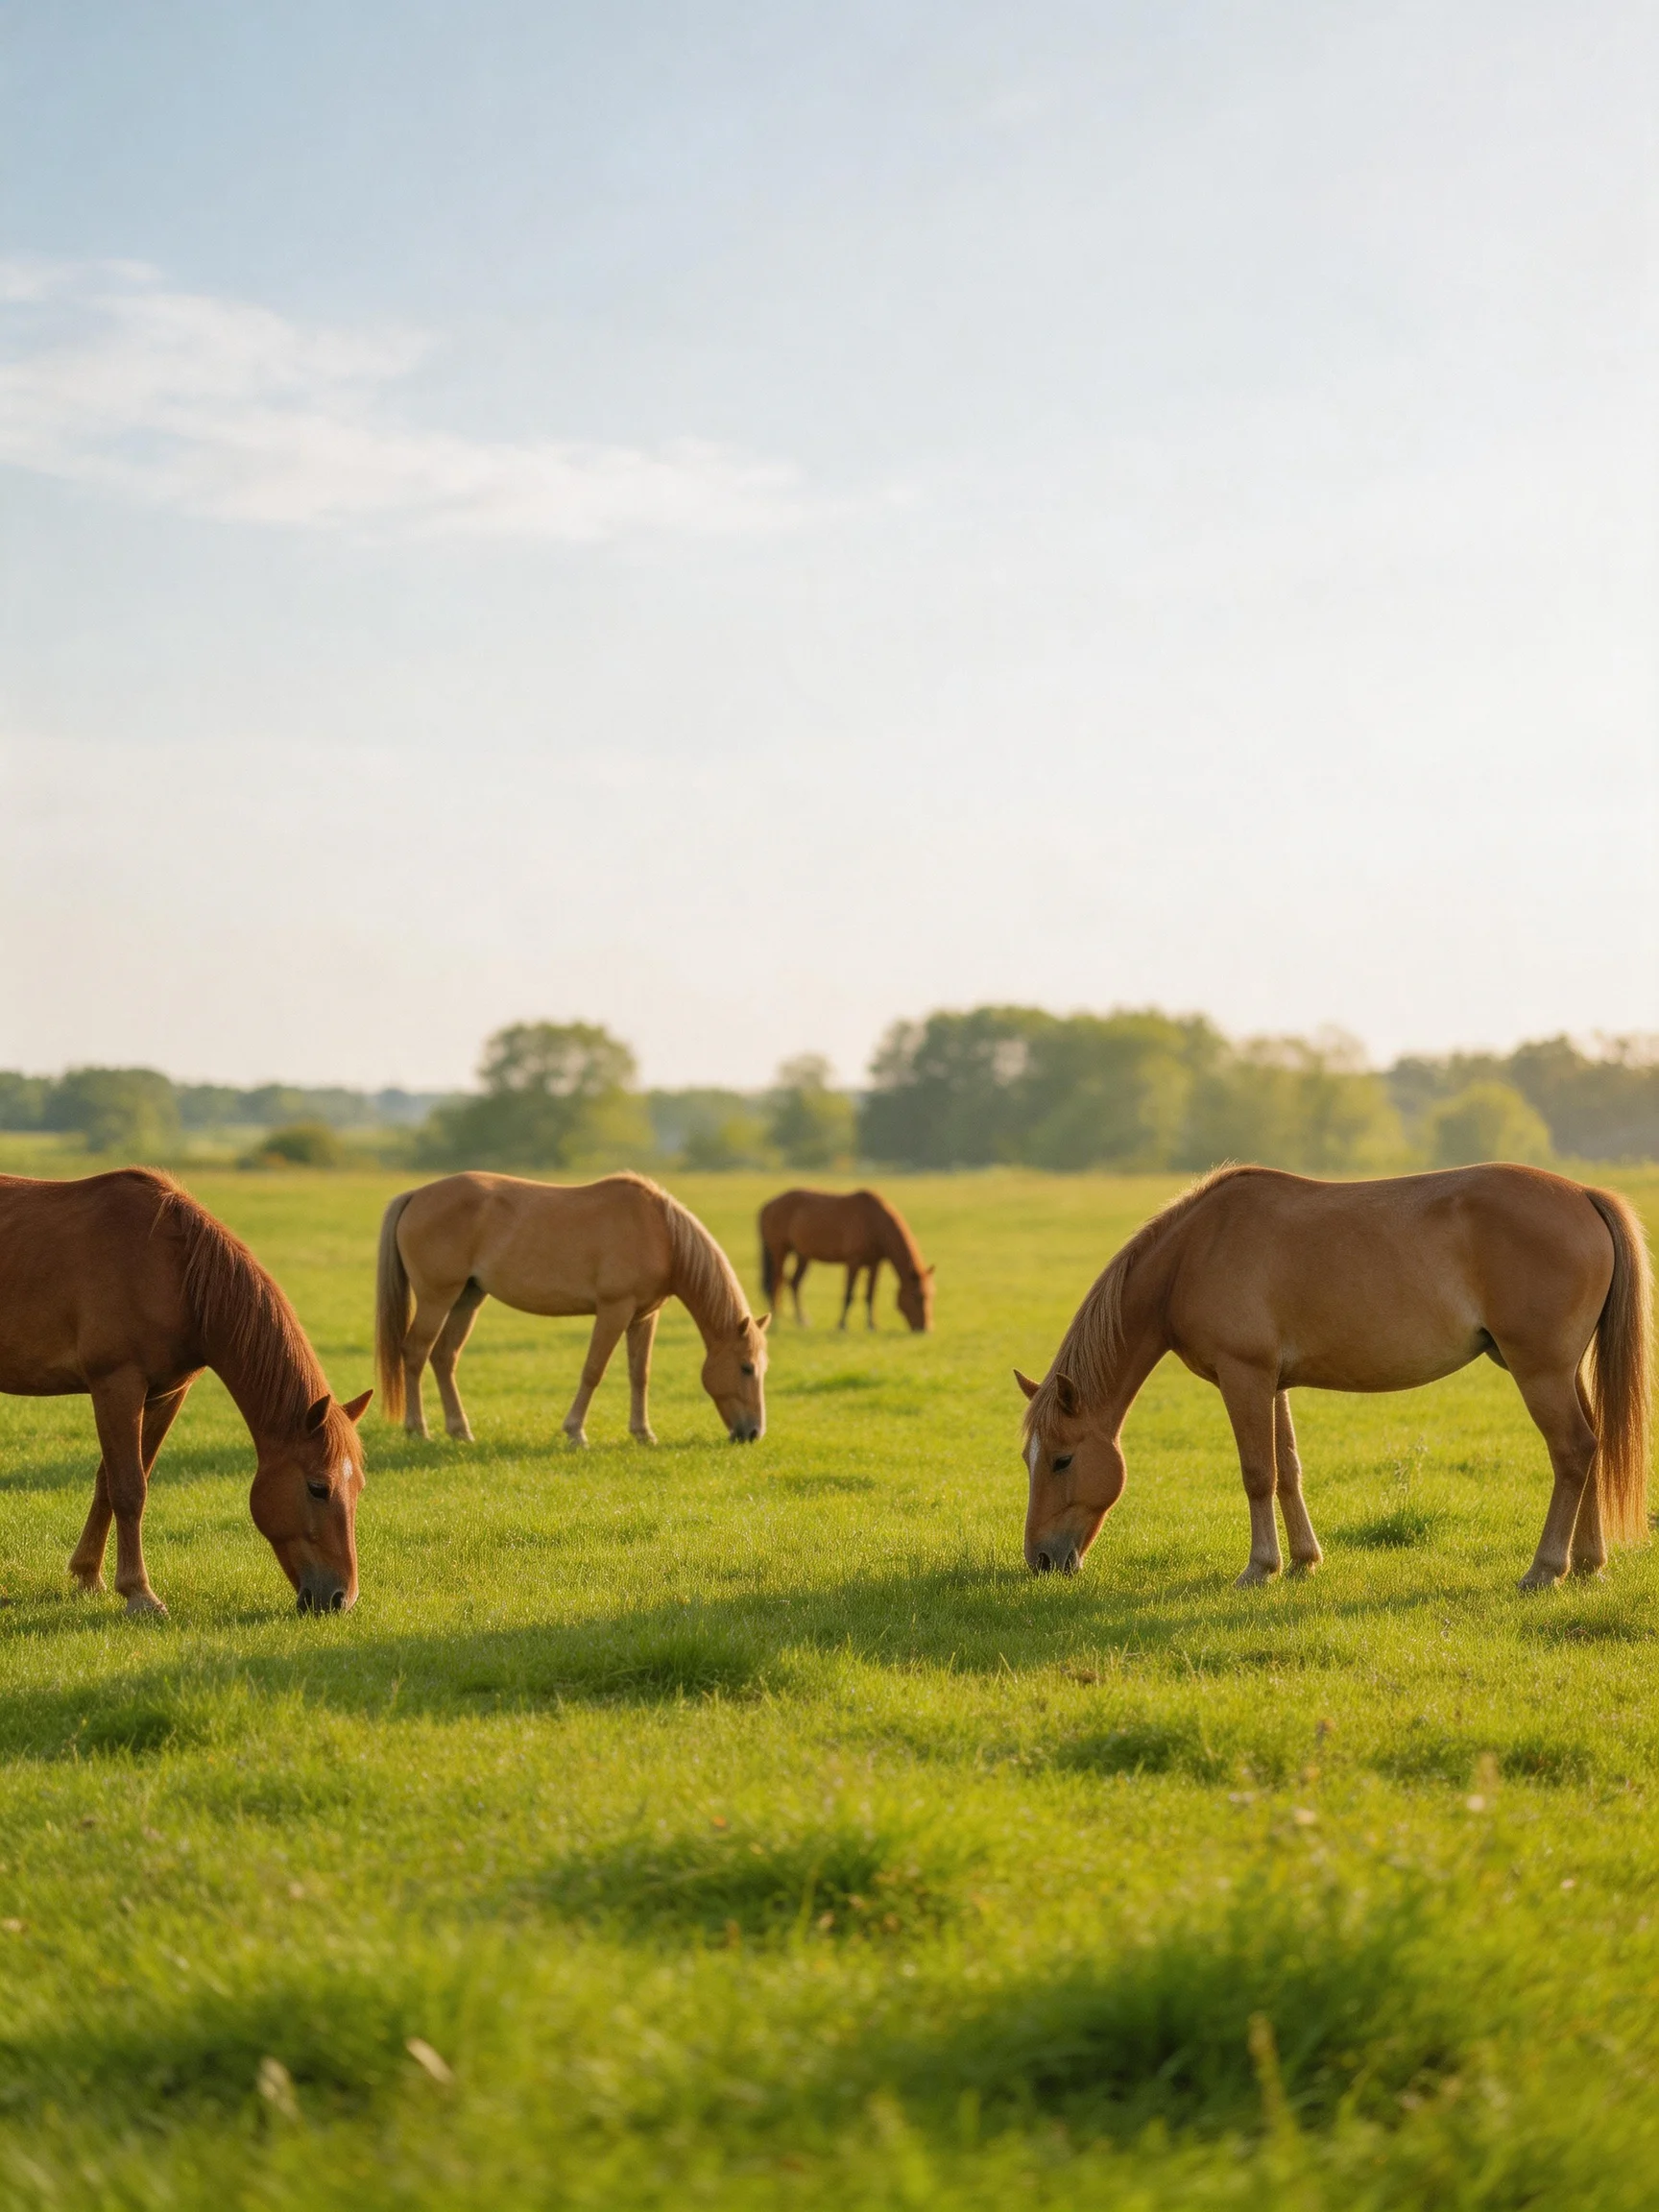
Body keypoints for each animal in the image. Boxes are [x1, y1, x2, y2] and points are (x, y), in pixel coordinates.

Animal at [0, 1169, 371, 1616]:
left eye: (359, 1487)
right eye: (318, 1488)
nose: (340, 1598)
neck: (171, 1272)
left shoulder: (165, 1395)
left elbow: (111, 1481)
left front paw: (88, 1575)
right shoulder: (117, 1385)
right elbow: (128, 1489)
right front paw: (139, 1593)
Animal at [376, 1171, 768, 1446]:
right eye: (746, 1367)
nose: (753, 1433)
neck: (662, 1235)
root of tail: (416, 1195)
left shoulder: (644, 1317)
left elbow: (639, 1374)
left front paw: (643, 1433)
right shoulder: (614, 1310)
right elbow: (593, 1370)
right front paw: (575, 1432)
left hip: (466, 1299)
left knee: (444, 1356)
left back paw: (460, 1431)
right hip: (437, 1298)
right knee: (415, 1352)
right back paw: (418, 1429)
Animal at [759, 1187, 934, 1332]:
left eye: (931, 1295)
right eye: (917, 1296)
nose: (925, 1329)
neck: (874, 1221)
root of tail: (768, 1205)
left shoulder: (875, 1264)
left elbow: (870, 1295)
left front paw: (872, 1326)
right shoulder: (853, 1262)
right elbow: (849, 1294)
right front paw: (842, 1325)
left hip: (803, 1255)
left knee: (794, 1283)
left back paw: (802, 1320)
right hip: (780, 1250)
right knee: (777, 1282)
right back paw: (776, 1319)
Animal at [1016, 1163, 1651, 1592]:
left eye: (1062, 1460)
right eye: (1029, 1458)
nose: (1040, 1561)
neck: (1194, 1253)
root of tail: (1584, 1195)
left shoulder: (1243, 1376)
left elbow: (1257, 1473)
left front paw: (1260, 1567)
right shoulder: (1271, 1383)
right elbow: (1288, 1470)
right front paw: (1302, 1560)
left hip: (1539, 1371)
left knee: (1573, 1450)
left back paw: (1545, 1569)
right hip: (1563, 1372)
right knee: (1594, 1447)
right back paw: (1589, 1564)